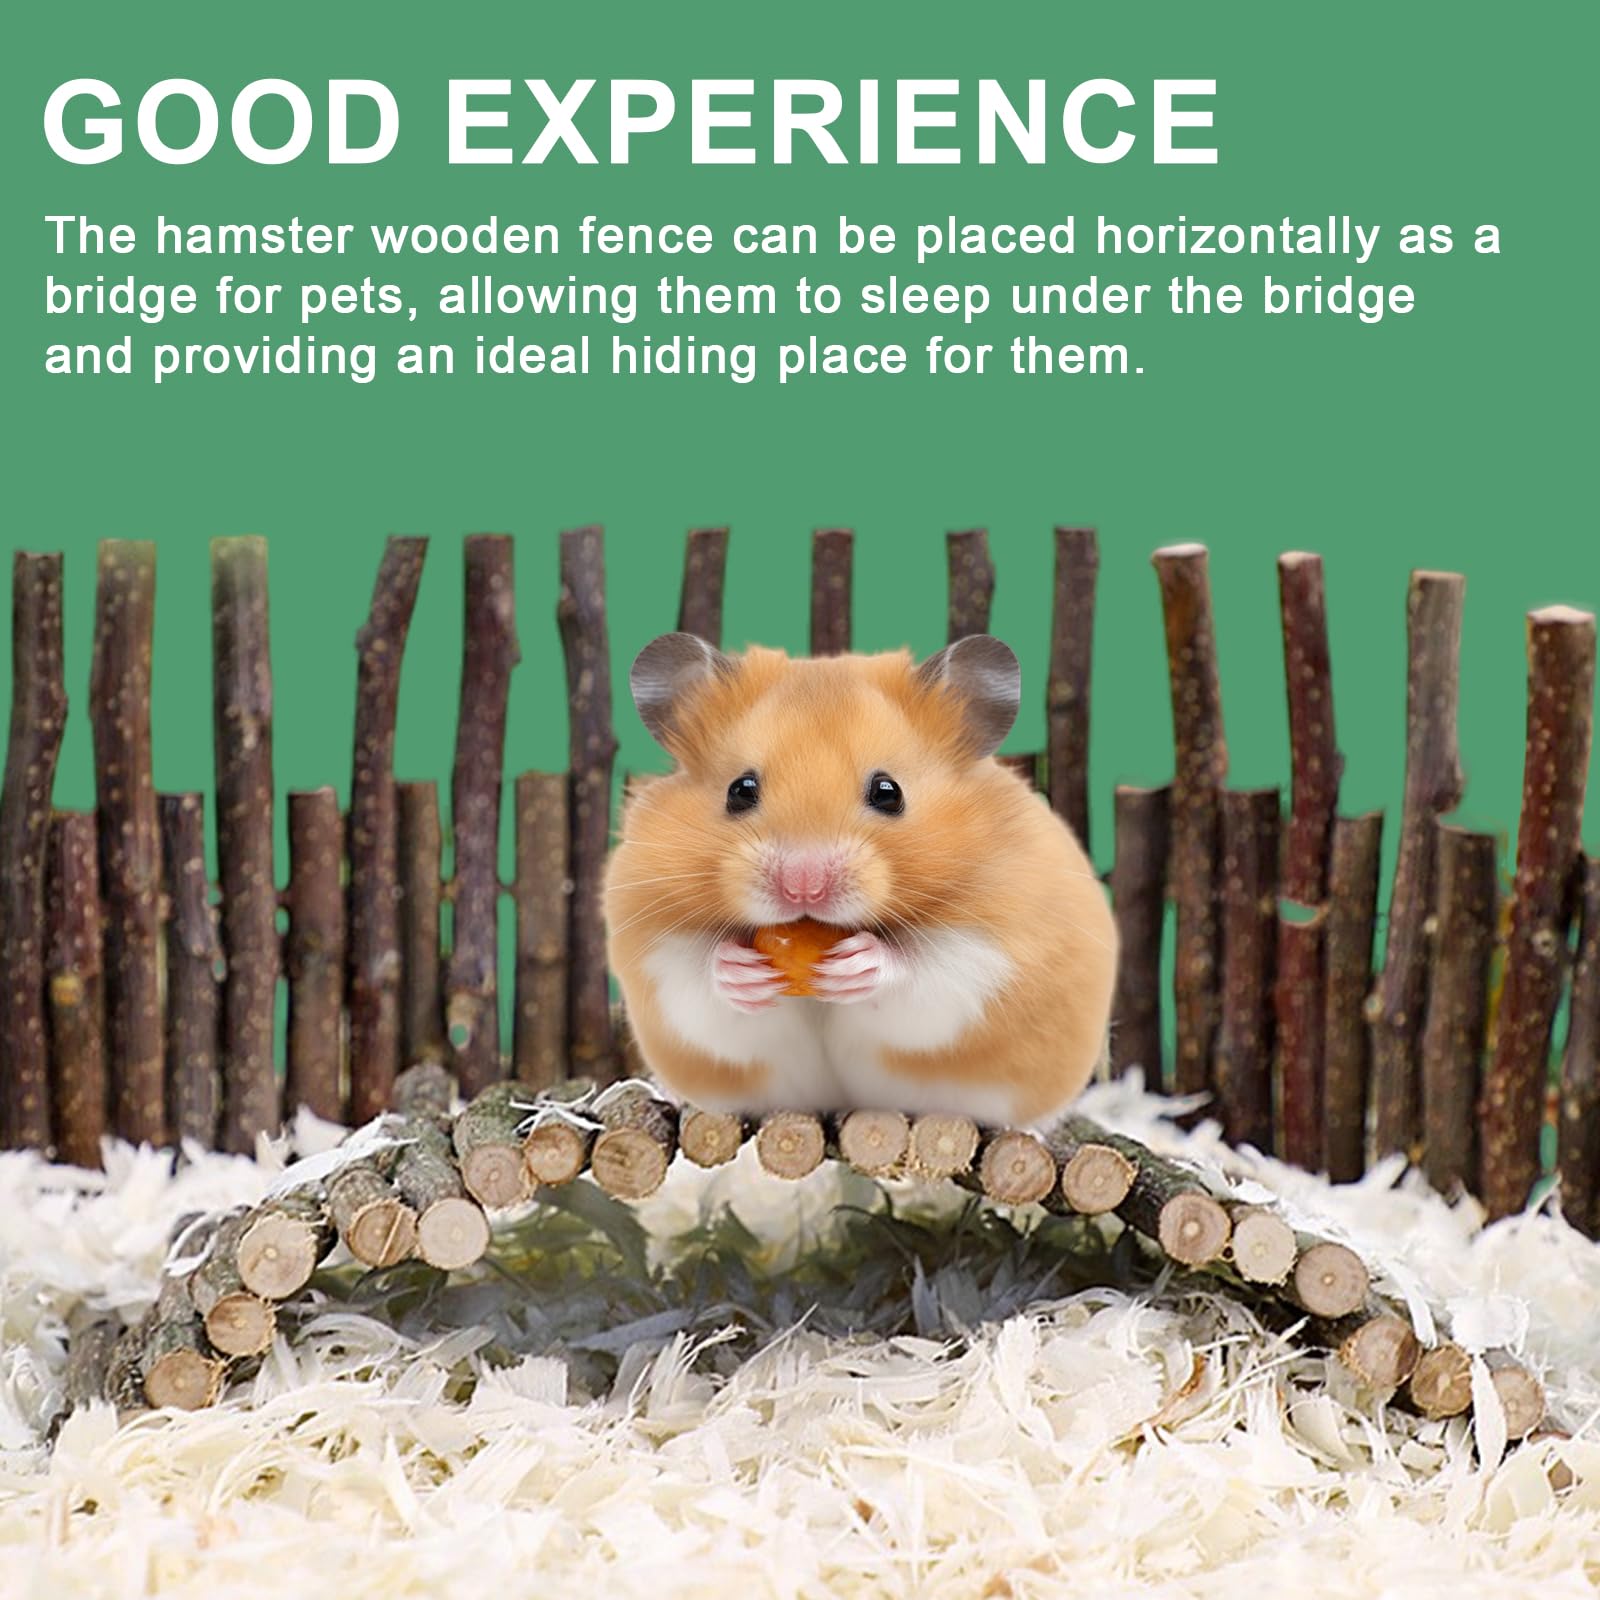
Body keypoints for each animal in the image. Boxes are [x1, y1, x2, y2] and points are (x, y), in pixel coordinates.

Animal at [603, 632, 1118, 1128]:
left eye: (888, 792)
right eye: (740, 790)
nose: (803, 887)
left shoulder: (994, 945)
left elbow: (930, 971)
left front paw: (857, 964)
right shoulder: (652, 944)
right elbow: (694, 976)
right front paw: (739, 969)